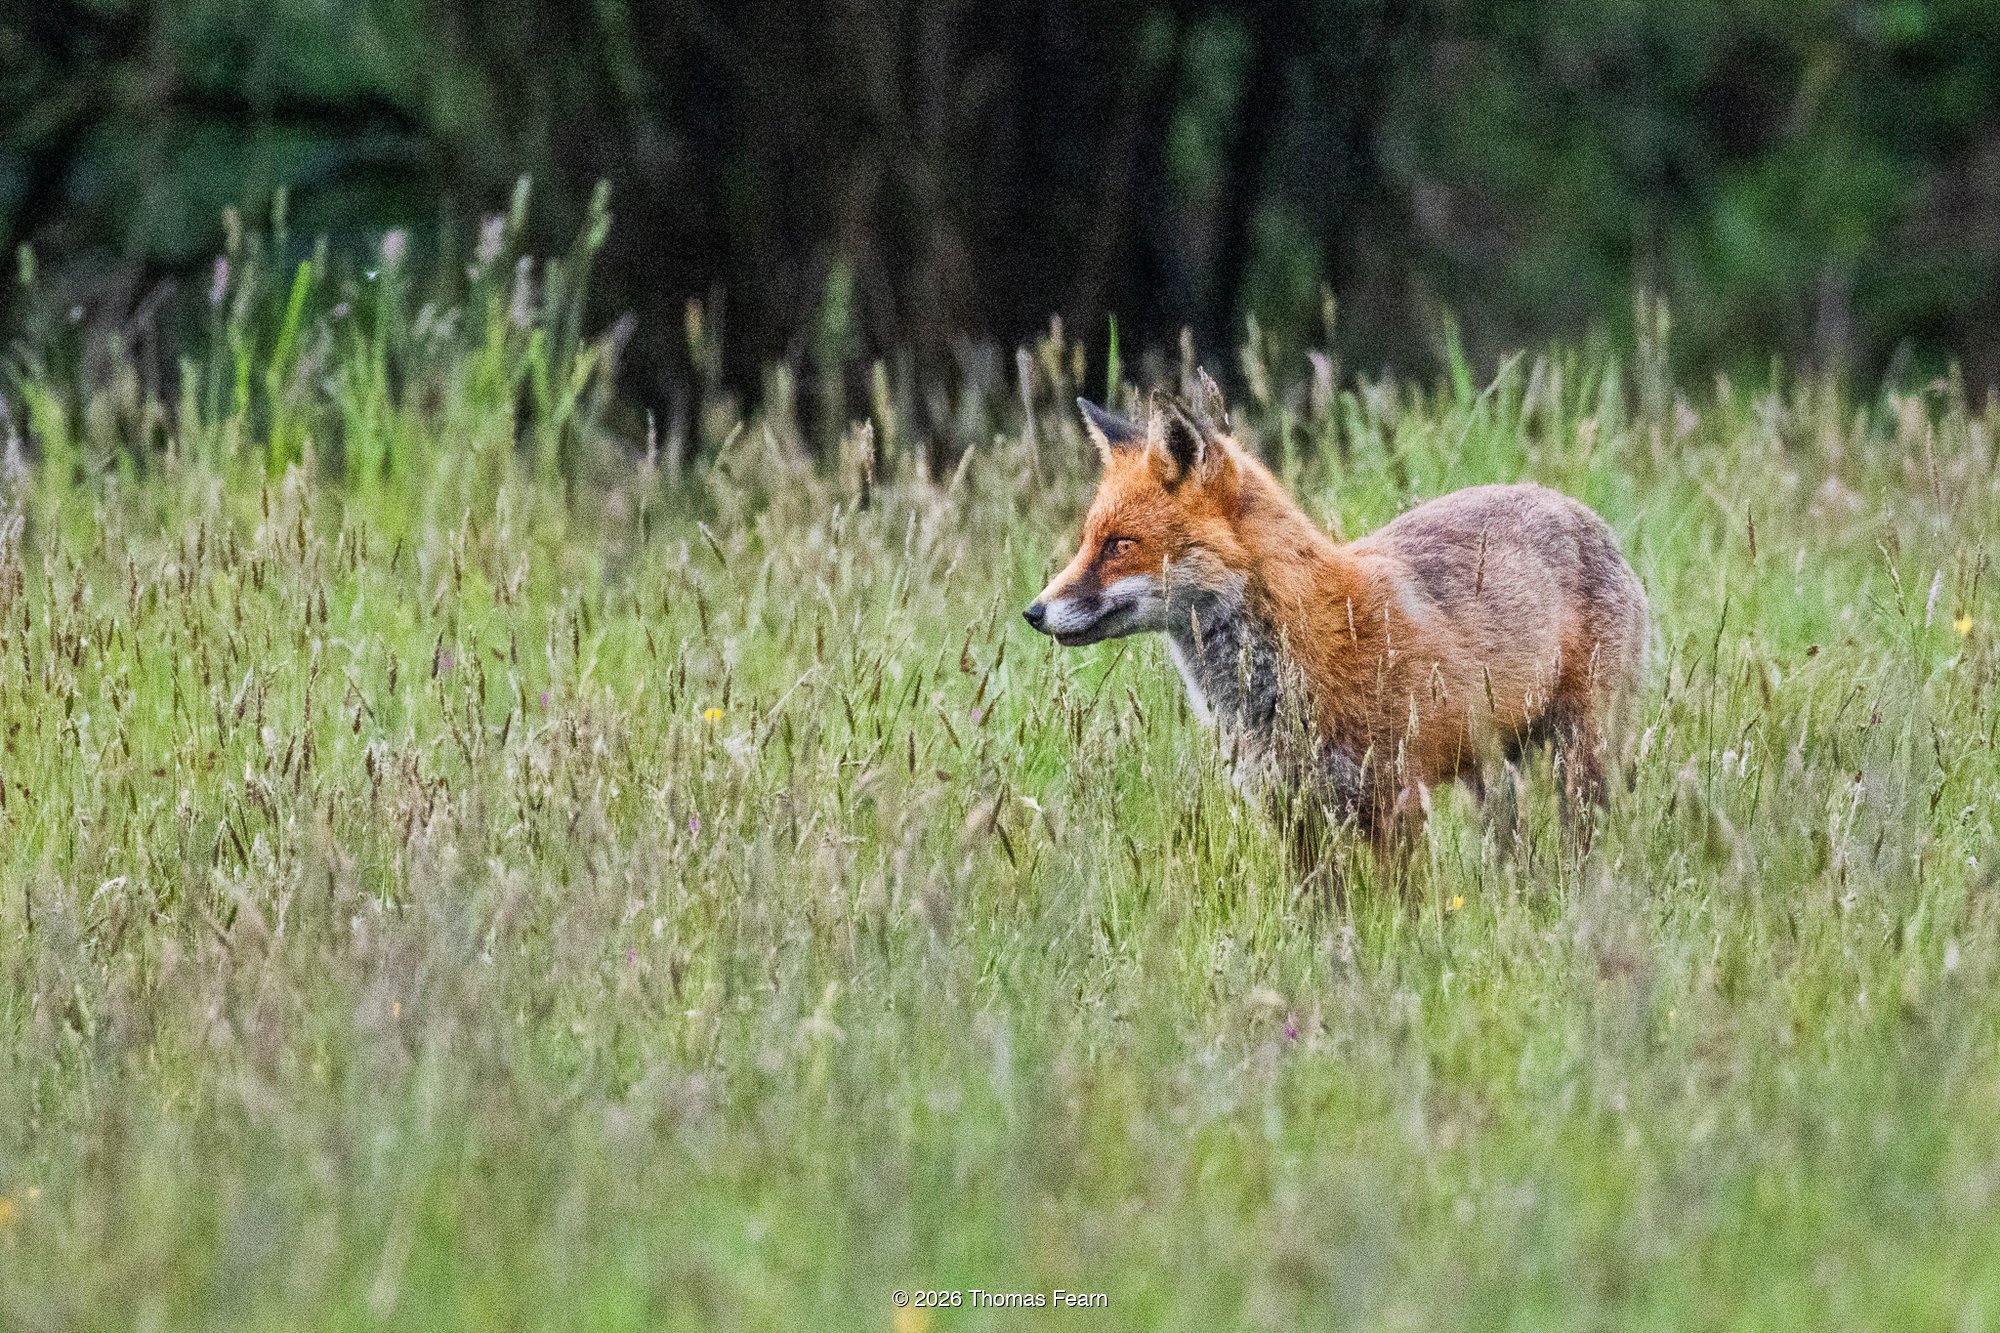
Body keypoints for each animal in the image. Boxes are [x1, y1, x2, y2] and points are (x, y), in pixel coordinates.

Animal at [1023, 372, 1648, 887]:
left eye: (1121, 545)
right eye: (1088, 540)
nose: (1033, 612)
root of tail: (1580, 511)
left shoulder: (1396, 799)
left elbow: (1403, 909)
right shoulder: (1290, 810)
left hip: (1577, 760)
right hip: (1491, 775)